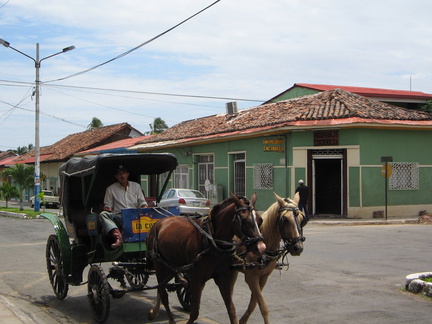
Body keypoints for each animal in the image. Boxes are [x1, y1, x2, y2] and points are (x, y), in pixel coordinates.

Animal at [147, 194, 264, 322]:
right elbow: (194, 313)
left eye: (260, 220)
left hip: (172, 266)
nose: (261, 247)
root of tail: (160, 222)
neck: (212, 242)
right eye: (243, 219)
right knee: (163, 295)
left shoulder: (223, 278)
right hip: (159, 266)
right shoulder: (197, 279)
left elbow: (231, 310)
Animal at [235, 192, 306, 324]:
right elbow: (263, 307)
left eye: (301, 219)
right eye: (284, 219)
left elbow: (253, 303)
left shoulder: (263, 278)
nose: (297, 248)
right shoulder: (251, 278)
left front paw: (242, 320)